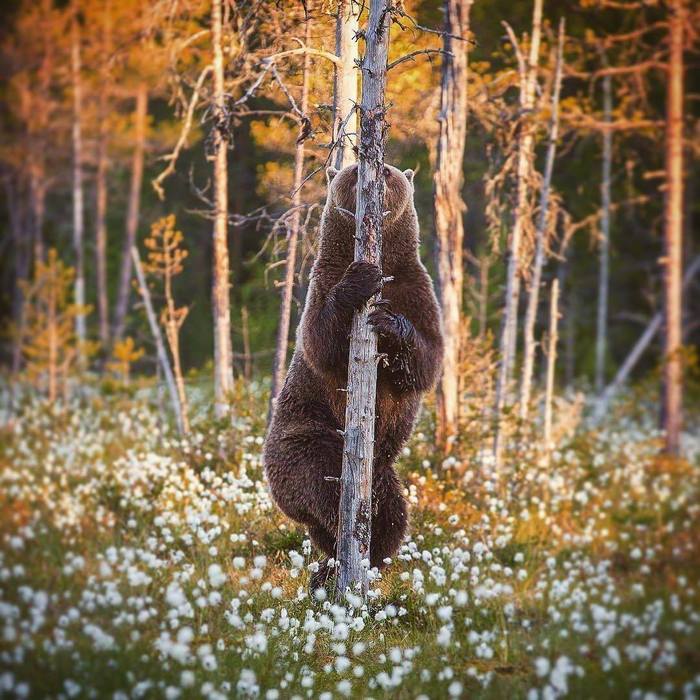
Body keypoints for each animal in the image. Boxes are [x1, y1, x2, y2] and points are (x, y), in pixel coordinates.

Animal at [262, 161, 442, 584]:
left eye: (389, 171)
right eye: (353, 167)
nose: (373, 171)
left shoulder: (416, 287)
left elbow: (428, 358)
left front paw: (390, 323)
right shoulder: (322, 281)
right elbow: (320, 342)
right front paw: (361, 280)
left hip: (381, 468)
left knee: (393, 512)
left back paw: (365, 559)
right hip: (304, 441)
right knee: (323, 486)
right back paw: (339, 557)